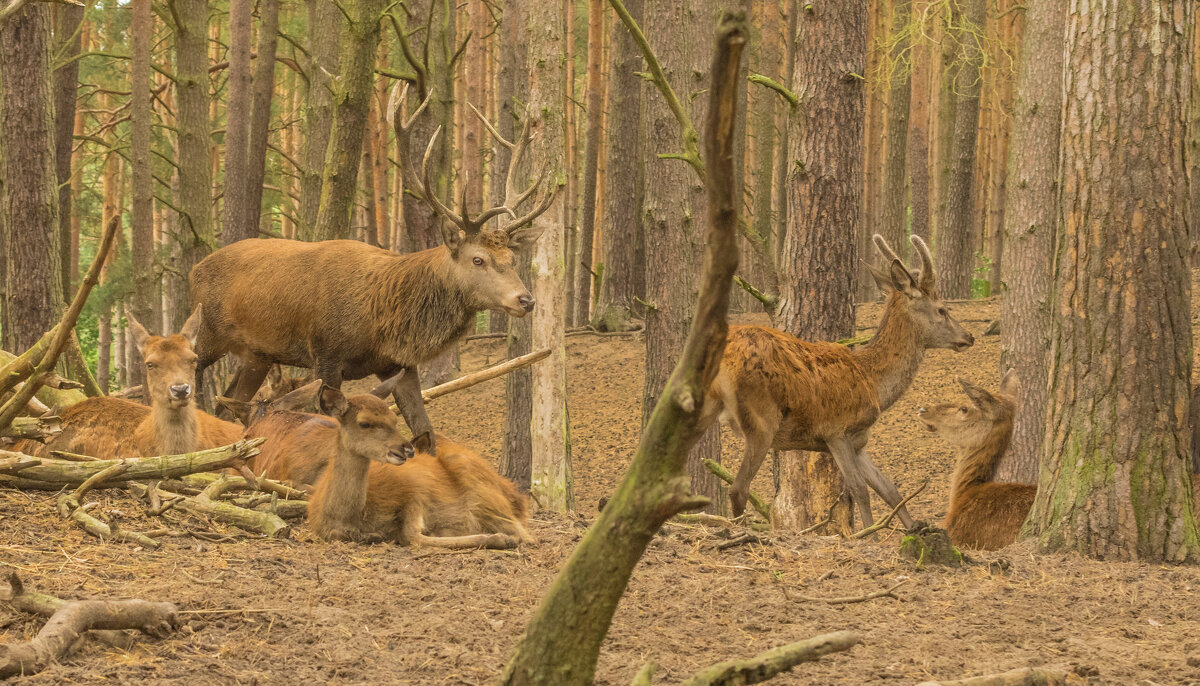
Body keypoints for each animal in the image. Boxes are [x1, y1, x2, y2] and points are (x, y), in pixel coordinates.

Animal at [188, 91, 556, 455]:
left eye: (511, 257)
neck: (381, 321)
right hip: (206, 334)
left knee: (227, 403)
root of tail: (194, 269)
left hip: (257, 355)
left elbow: (426, 432)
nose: (526, 300)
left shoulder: (398, 365)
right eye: (478, 259)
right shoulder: (325, 353)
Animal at [700, 232, 974, 527]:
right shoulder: (836, 431)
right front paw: (868, 532)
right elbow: (859, 490)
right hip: (762, 415)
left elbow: (889, 489)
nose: (968, 336)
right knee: (738, 489)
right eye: (942, 309)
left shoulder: (858, 440)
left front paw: (913, 530)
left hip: (706, 403)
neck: (875, 385)